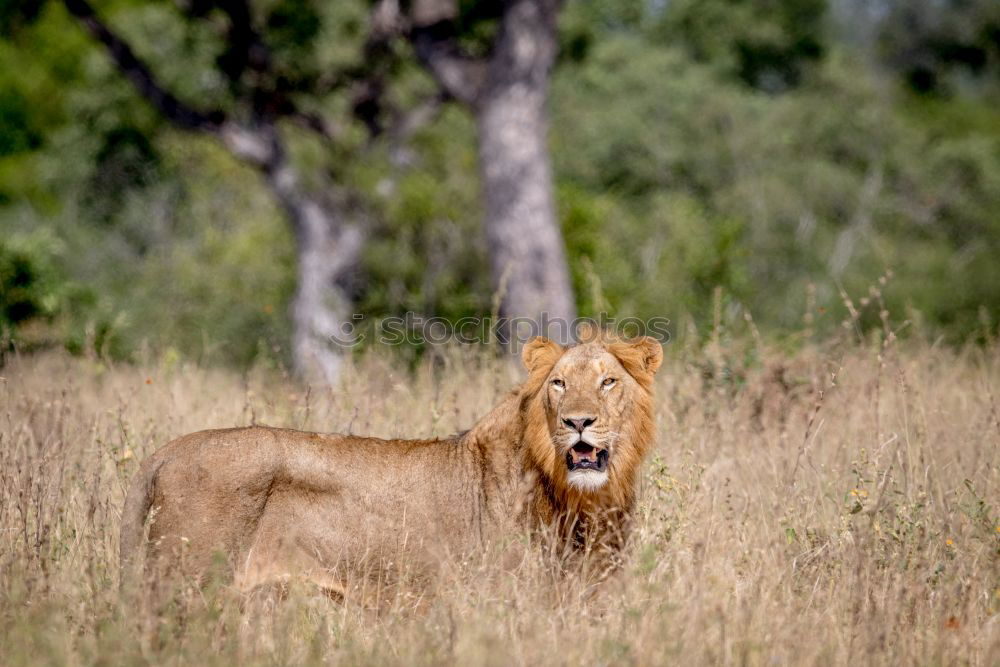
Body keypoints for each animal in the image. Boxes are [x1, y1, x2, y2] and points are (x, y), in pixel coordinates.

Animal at [119, 332, 664, 596]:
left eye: (609, 381)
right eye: (558, 384)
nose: (578, 422)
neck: (580, 499)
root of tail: (161, 453)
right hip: (185, 584)